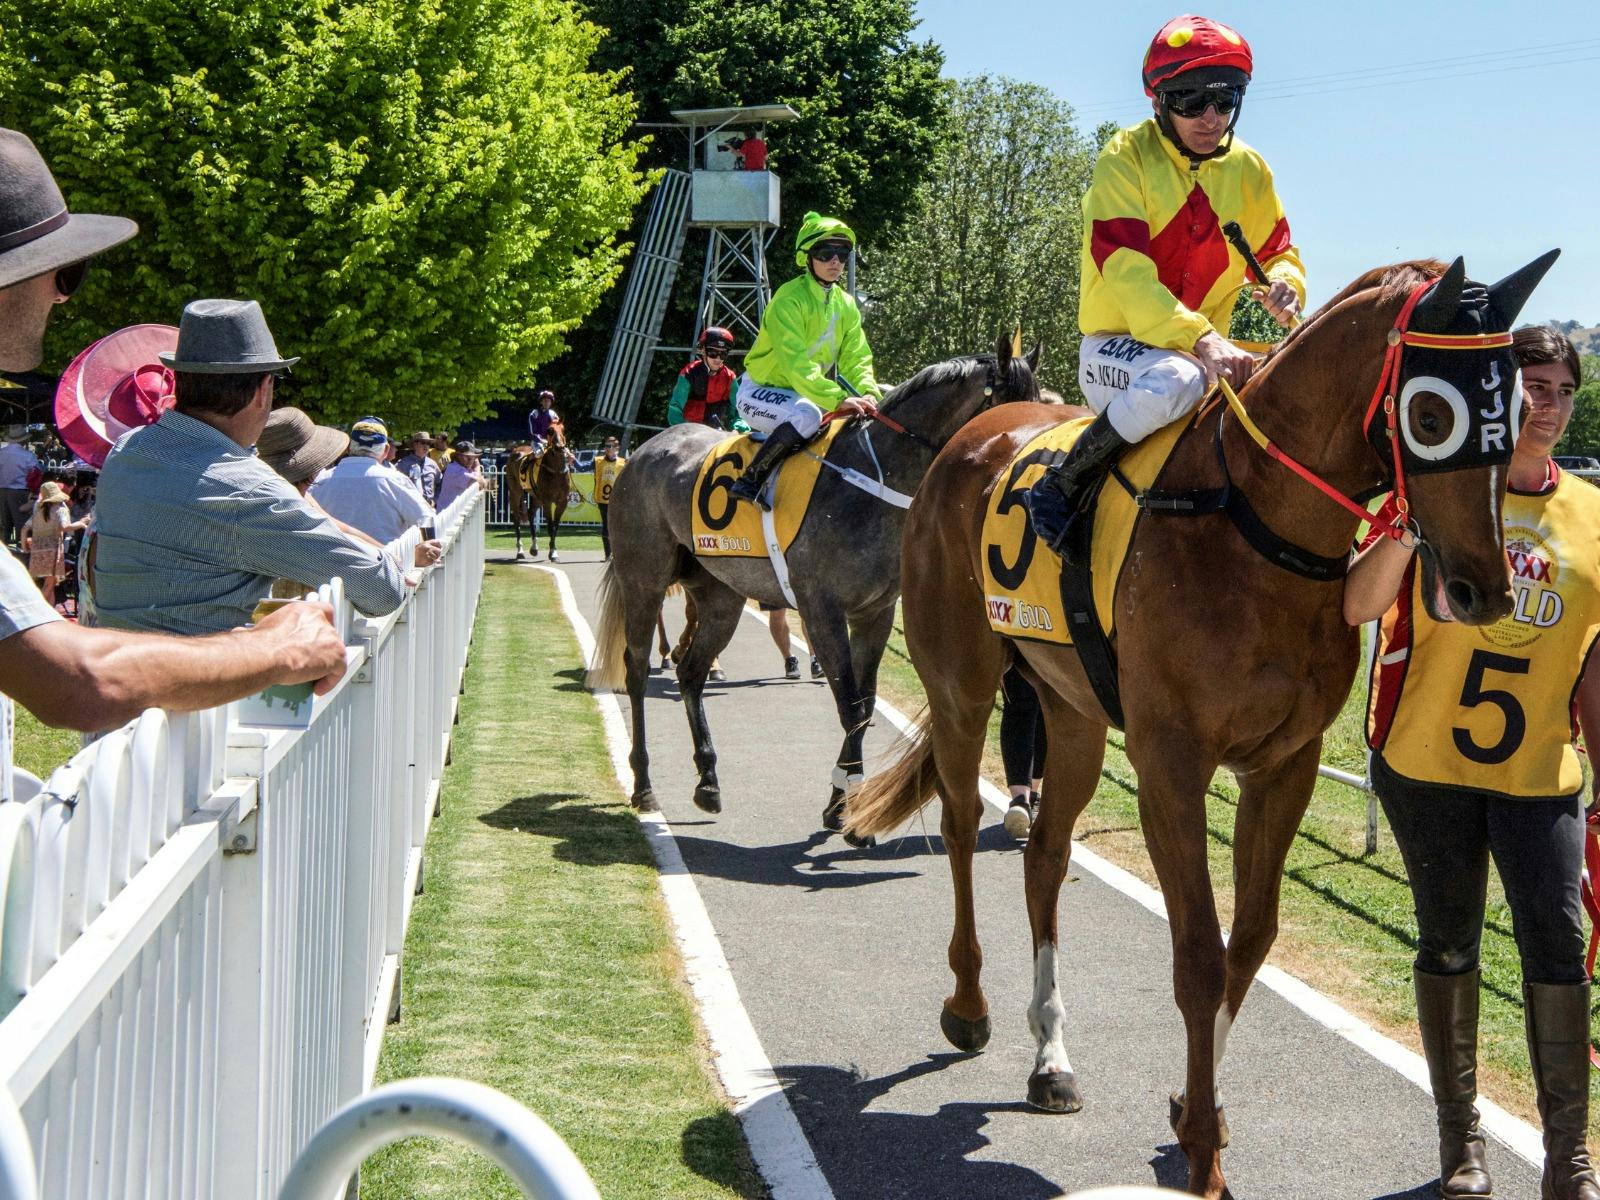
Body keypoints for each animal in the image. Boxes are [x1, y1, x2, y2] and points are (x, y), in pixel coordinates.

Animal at [588, 339, 1036, 838]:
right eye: (1012, 415)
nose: (1025, 499)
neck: (871, 483)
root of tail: (645, 451)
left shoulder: (875, 613)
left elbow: (865, 704)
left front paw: (844, 808)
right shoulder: (822, 609)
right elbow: (851, 707)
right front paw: (845, 808)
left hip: (721, 596)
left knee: (691, 671)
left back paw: (708, 781)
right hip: (643, 582)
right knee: (637, 670)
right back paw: (644, 783)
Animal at [851, 256, 1561, 1200]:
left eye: (1515, 410)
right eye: (1432, 414)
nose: (1483, 588)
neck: (1253, 526)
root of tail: (977, 439)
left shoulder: (1284, 766)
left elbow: (1248, 942)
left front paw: (1198, 1110)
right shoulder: (1170, 765)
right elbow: (1196, 952)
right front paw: (1201, 1154)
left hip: (1073, 712)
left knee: (1047, 857)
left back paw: (1051, 1058)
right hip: (963, 682)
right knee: (964, 823)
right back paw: (968, 1006)